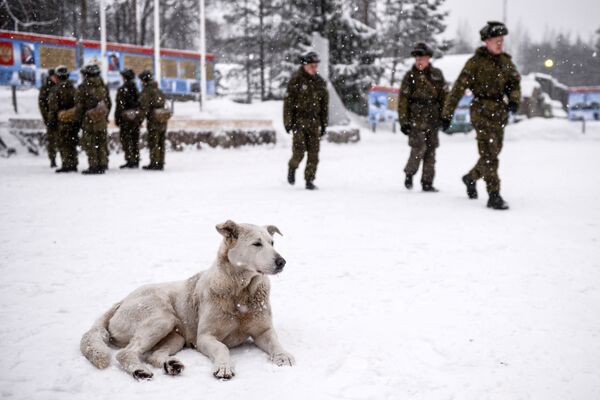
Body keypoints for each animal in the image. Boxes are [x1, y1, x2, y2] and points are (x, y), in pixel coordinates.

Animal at [79, 220, 296, 380]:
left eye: (272, 243)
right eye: (256, 244)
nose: (282, 262)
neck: (241, 292)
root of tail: (120, 302)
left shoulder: (263, 331)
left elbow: (275, 342)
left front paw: (283, 356)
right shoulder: (206, 337)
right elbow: (223, 347)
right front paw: (224, 367)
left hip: (176, 336)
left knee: (151, 355)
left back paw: (170, 365)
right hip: (161, 318)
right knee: (125, 353)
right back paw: (140, 371)